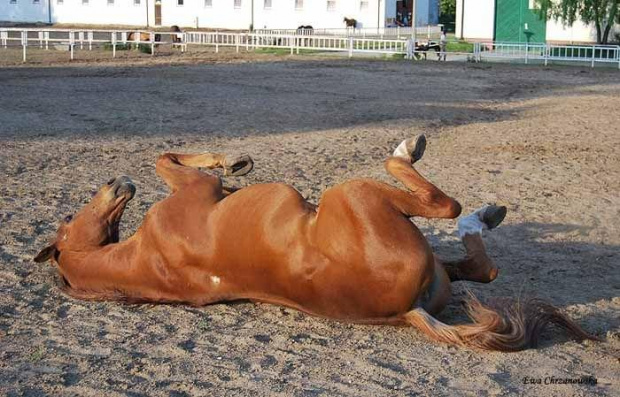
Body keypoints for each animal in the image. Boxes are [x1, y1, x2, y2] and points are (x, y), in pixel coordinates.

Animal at [34, 135, 596, 350]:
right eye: (68, 216)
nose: (116, 184)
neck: (142, 259)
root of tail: (405, 311)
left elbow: (167, 156)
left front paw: (236, 163)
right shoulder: (195, 189)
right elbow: (165, 160)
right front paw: (232, 162)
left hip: (433, 266)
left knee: (480, 268)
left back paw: (483, 218)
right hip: (354, 193)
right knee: (446, 209)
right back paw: (421, 163)